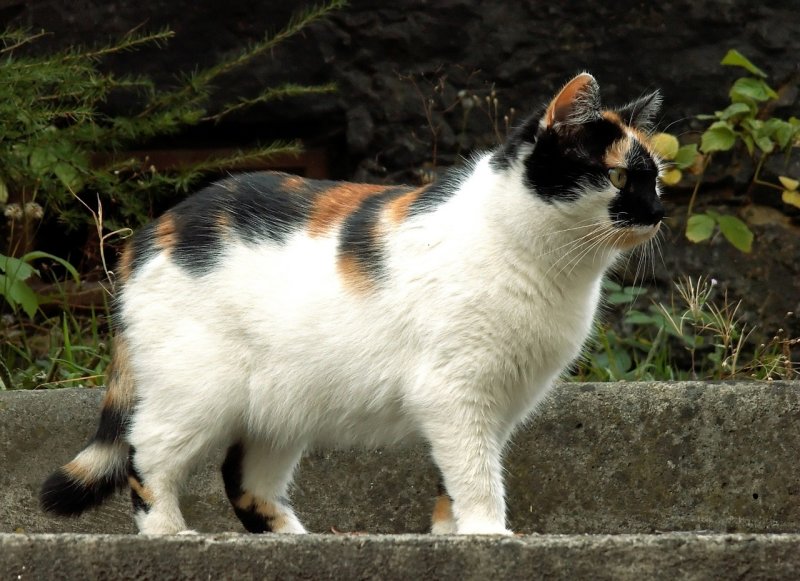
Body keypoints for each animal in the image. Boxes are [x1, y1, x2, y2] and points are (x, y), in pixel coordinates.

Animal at [39, 72, 664, 536]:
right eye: (616, 177)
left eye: (656, 179)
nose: (659, 213)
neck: (550, 267)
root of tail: (148, 233)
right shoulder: (453, 393)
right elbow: (476, 473)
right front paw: (489, 533)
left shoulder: (497, 403)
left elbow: (453, 475)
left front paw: (451, 534)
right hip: (196, 388)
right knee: (147, 451)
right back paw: (169, 531)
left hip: (281, 404)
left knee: (242, 477)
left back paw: (293, 537)